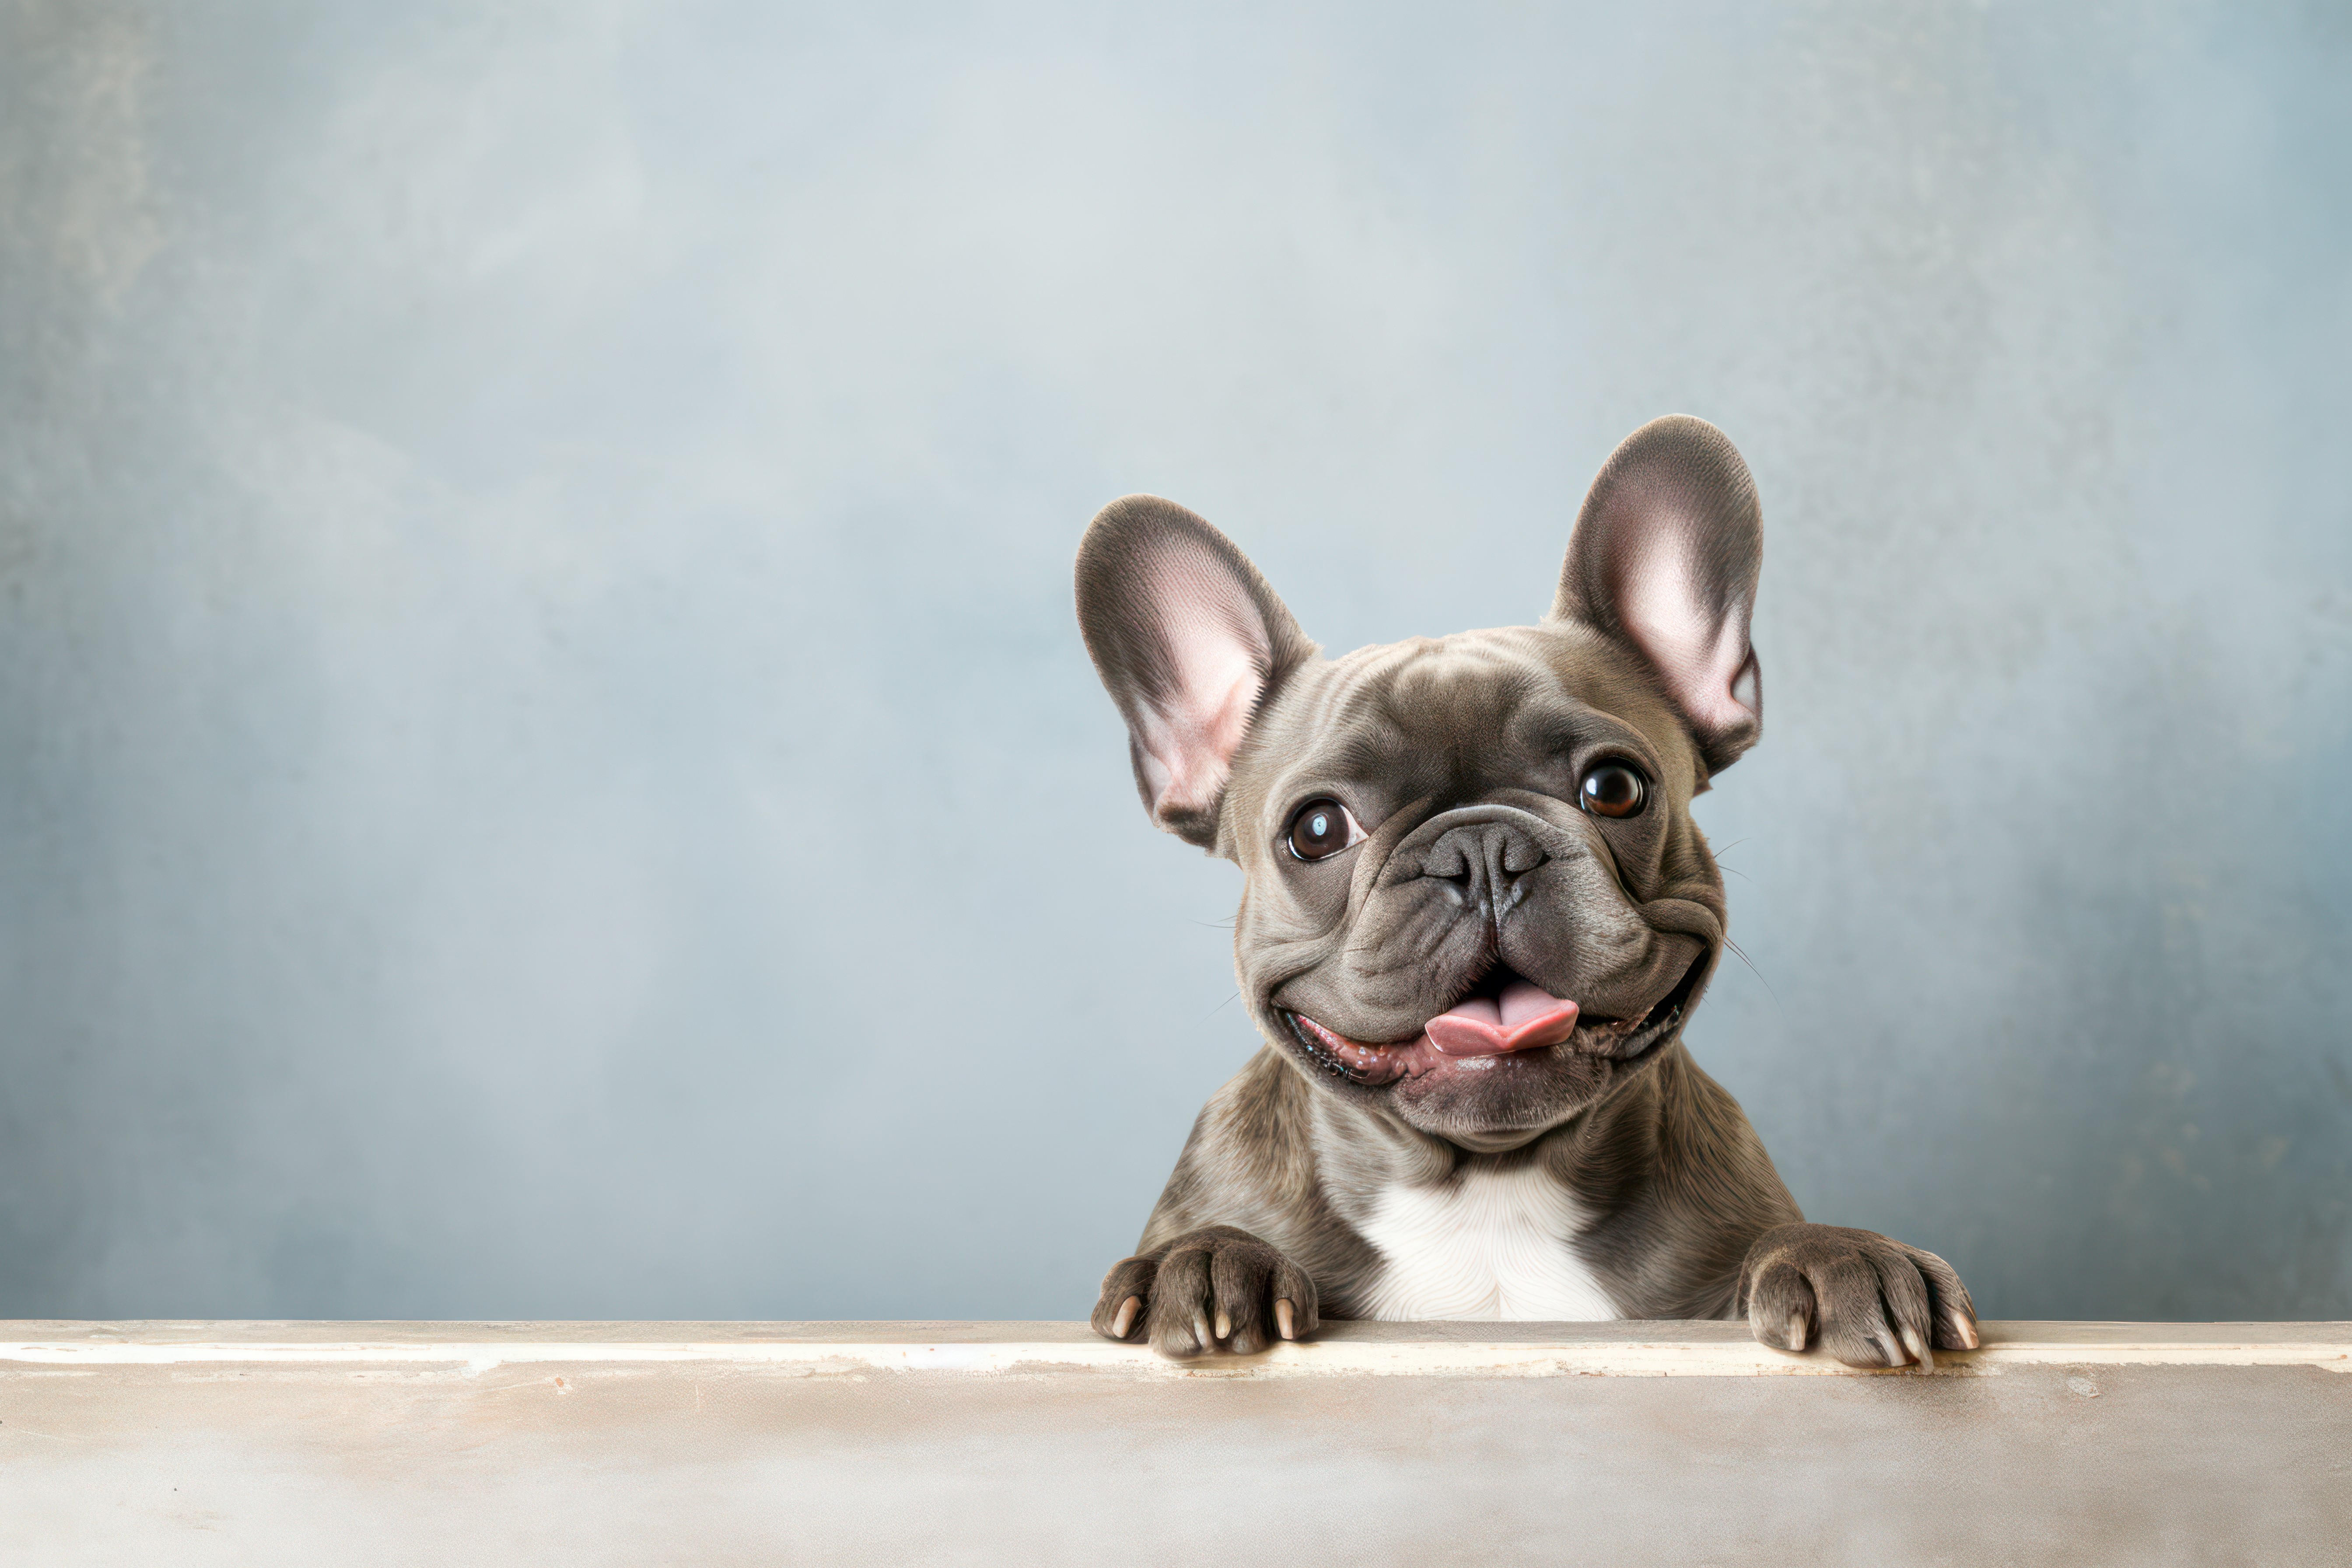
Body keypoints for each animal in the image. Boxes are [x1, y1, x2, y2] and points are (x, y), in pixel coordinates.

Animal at [1082, 413, 1985, 1363]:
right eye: (1317, 830)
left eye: (1615, 786)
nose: (1481, 848)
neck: (1490, 1195)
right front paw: (1208, 1257)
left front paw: (1841, 1254)